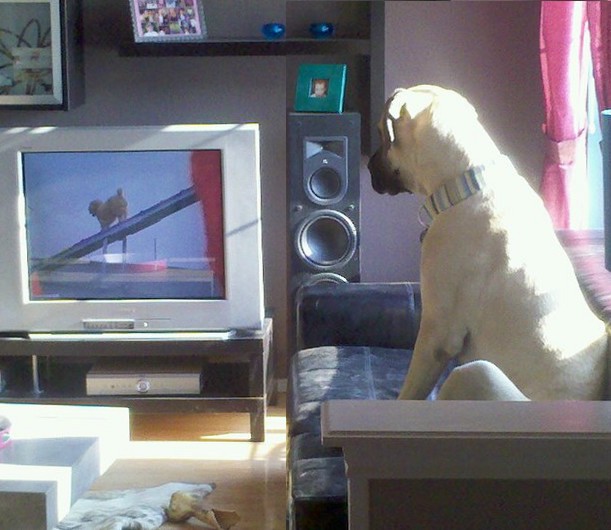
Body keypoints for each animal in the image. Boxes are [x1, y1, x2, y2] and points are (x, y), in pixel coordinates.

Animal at [368, 83, 608, 396]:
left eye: (380, 132)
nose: (368, 165)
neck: (464, 183)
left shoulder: (436, 335)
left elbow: (410, 392)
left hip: (477, 373)